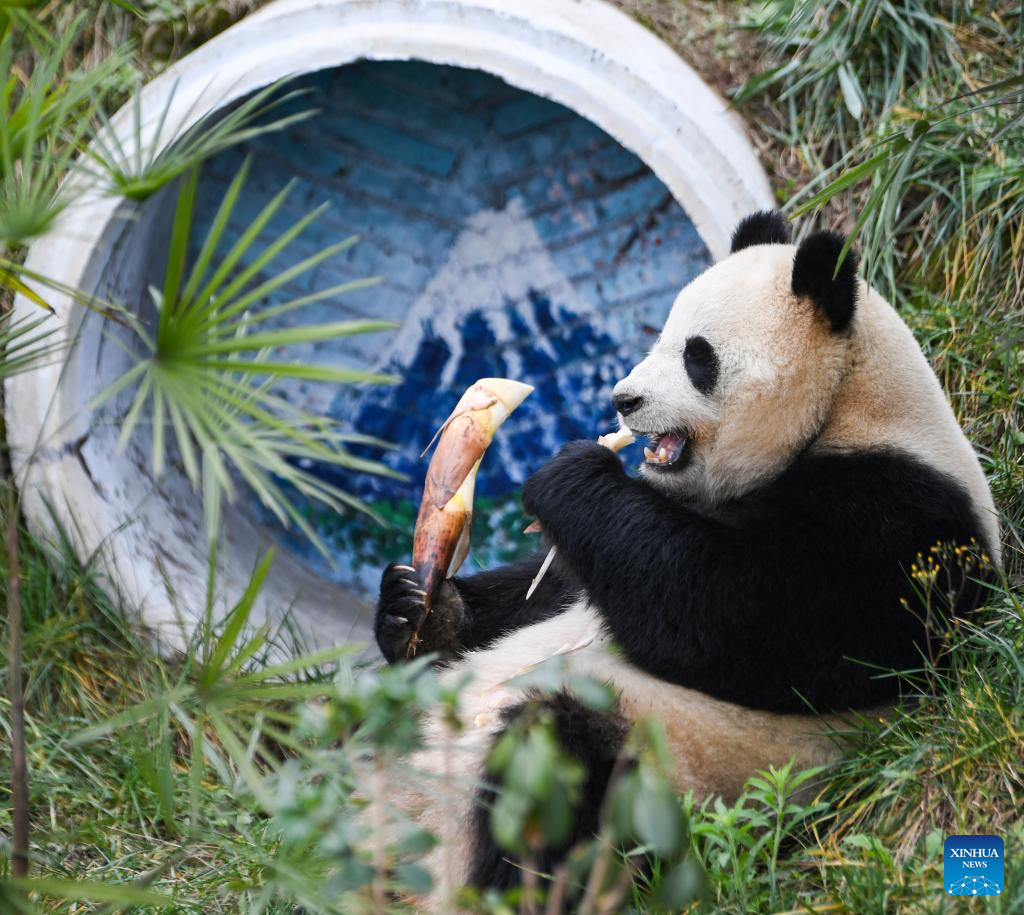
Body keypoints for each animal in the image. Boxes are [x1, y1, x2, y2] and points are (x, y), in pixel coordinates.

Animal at [370, 210, 999, 904]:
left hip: (668, 767)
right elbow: (562, 581)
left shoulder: (893, 526)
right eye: (660, 336)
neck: (846, 405)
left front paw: (570, 472)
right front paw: (418, 610)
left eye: (698, 355)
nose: (623, 400)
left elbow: (727, 614)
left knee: (549, 769)